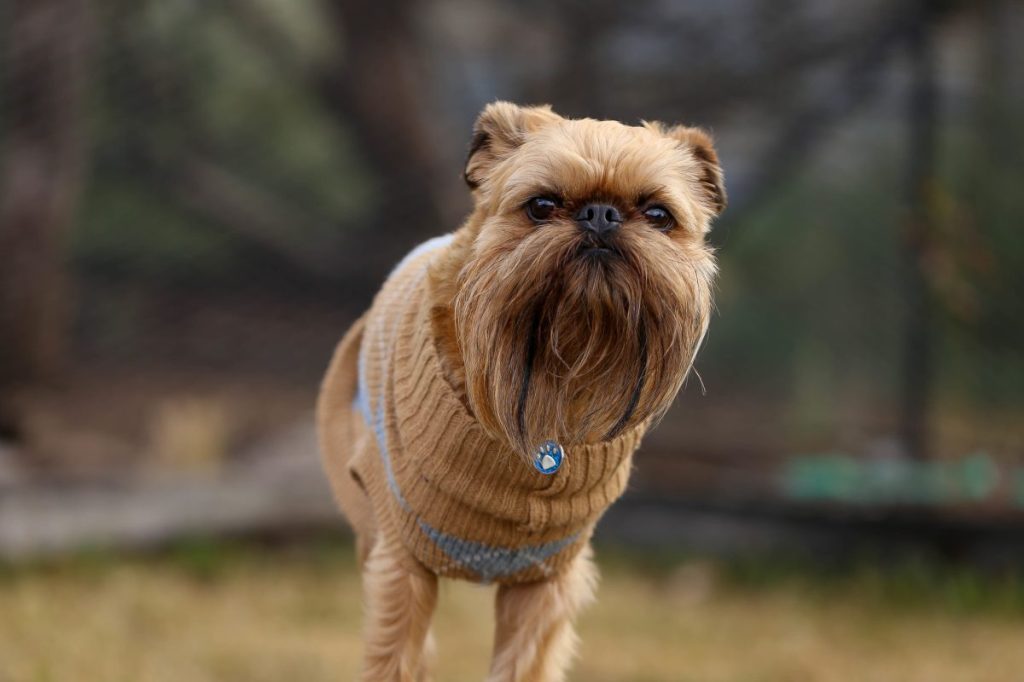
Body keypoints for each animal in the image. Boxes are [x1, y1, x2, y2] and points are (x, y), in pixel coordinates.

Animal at [315, 102, 724, 679]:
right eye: (542, 206)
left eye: (659, 215)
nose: (601, 214)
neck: (557, 368)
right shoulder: (402, 563)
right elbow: (396, 657)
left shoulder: (544, 584)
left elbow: (524, 663)